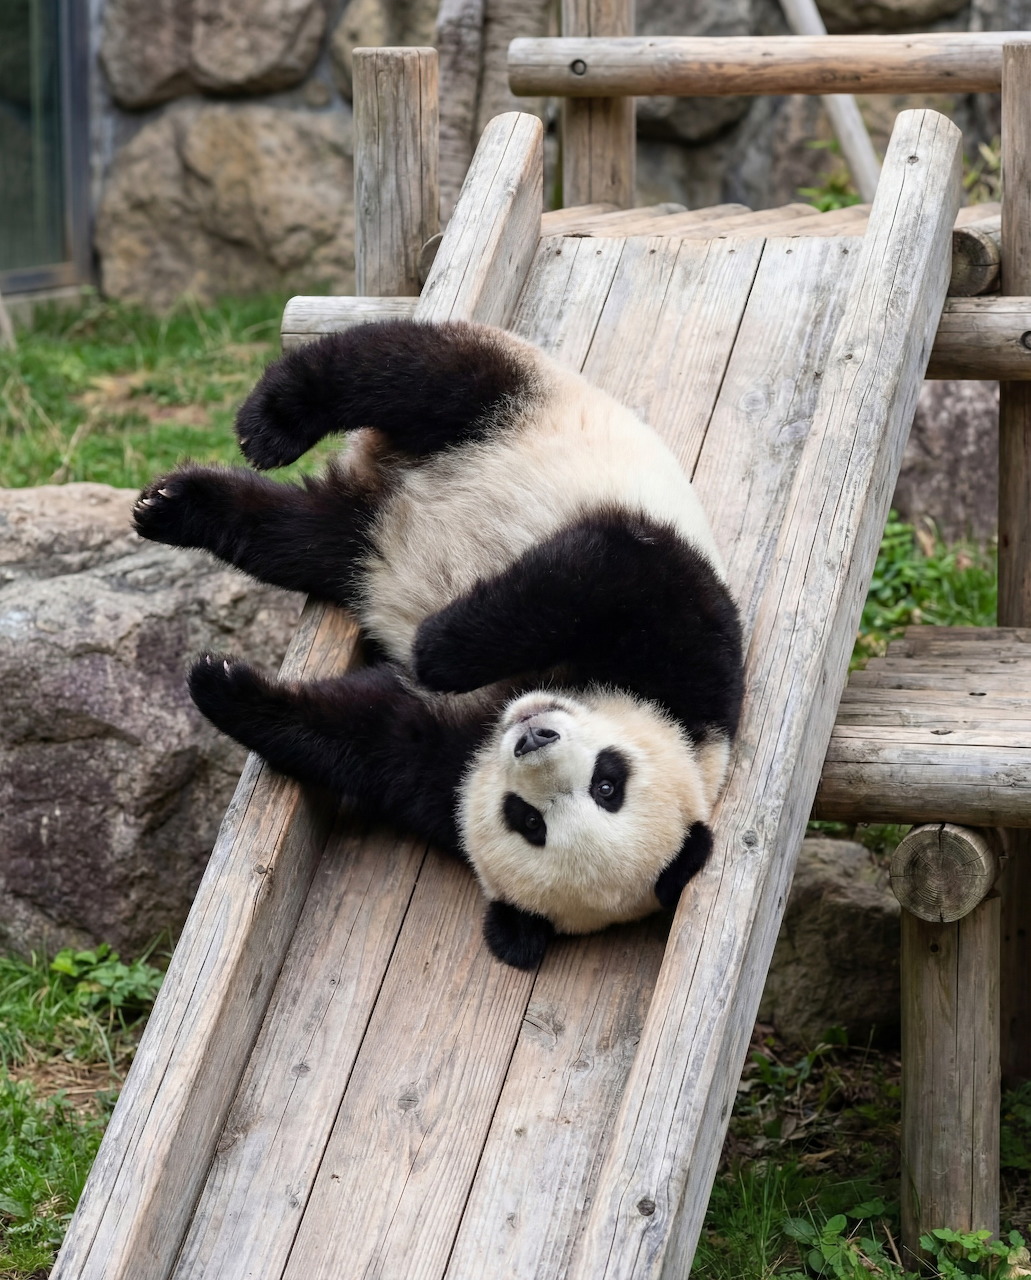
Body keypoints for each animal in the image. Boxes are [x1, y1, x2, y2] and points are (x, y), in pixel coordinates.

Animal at [133, 319, 743, 969]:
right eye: (610, 783)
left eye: (528, 821)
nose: (533, 737)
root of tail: (390, 493)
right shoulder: (694, 654)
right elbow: (604, 570)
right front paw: (436, 649)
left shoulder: (442, 772)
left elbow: (366, 735)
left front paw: (222, 684)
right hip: (516, 406)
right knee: (413, 372)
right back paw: (259, 434)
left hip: (356, 536)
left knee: (299, 532)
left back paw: (185, 508)